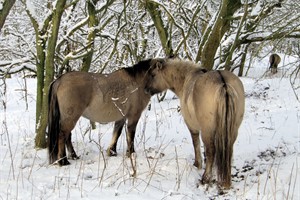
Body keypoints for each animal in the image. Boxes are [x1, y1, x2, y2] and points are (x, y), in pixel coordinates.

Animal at [144, 58, 245, 189]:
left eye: (153, 75)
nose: (145, 89)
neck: (186, 80)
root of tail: (223, 83)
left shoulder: (193, 126)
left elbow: (196, 143)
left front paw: (198, 164)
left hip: (207, 130)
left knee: (211, 151)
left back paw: (205, 178)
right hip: (232, 129)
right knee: (228, 148)